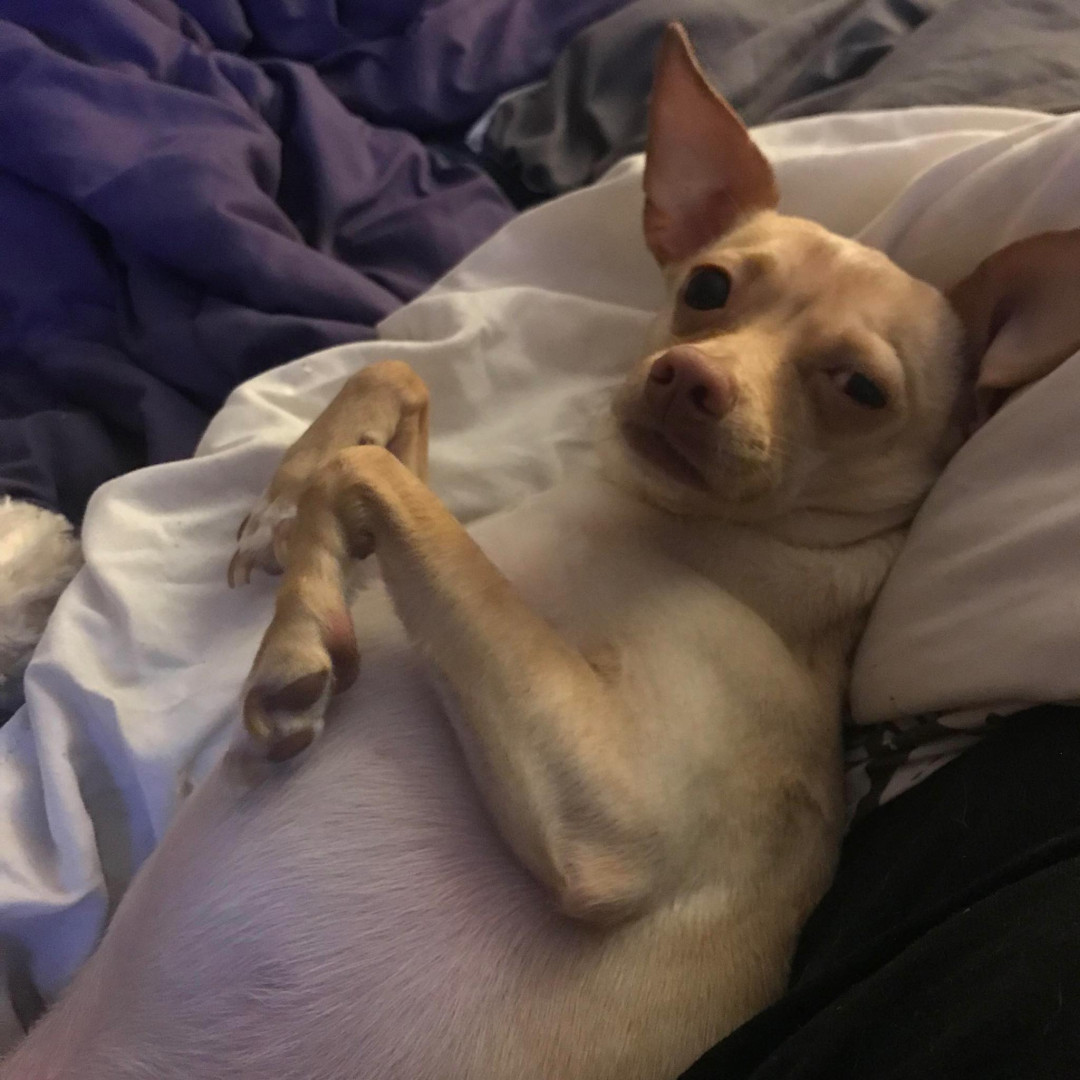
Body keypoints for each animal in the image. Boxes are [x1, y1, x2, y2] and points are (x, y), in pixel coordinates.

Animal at [5, 23, 1080, 1080]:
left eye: (861, 389)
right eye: (708, 287)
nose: (689, 378)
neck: (657, 523)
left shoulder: (616, 826)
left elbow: (368, 474)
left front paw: (291, 639)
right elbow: (390, 389)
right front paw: (284, 510)